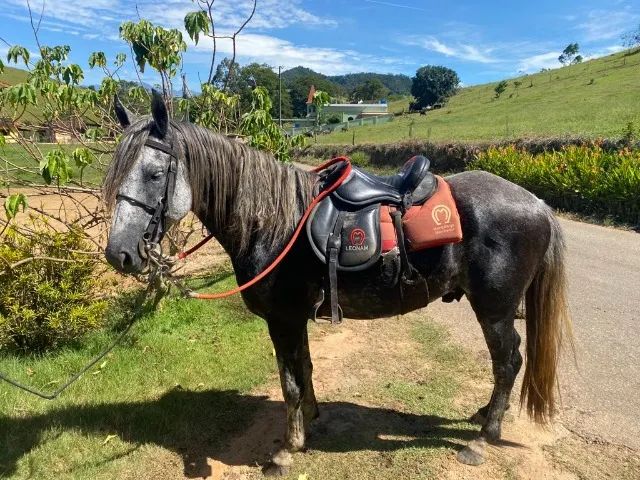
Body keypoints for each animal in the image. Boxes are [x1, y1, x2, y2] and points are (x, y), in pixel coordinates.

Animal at [104, 92, 572, 475]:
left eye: (154, 174)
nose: (118, 253)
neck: (274, 222)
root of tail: (537, 204)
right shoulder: (295, 318)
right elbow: (304, 369)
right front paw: (310, 419)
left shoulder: (283, 319)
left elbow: (289, 381)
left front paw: (288, 449)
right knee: (505, 364)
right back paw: (485, 415)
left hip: (494, 308)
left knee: (508, 361)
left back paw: (483, 439)